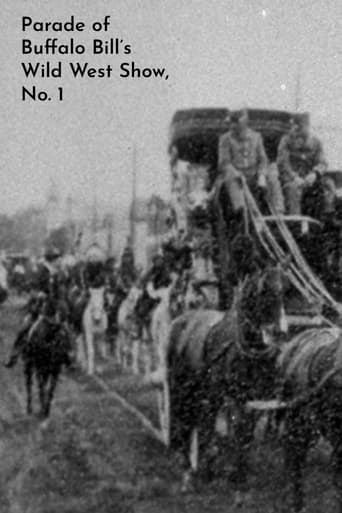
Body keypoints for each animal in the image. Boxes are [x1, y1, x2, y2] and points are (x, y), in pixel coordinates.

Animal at [165, 262, 286, 490]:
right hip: (181, 389)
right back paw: (187, 468)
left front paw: (239, 476)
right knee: (183, 422)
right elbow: (218, 434)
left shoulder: (252, 401)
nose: (279, 331)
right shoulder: (223, 398)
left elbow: (244, 436)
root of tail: (180, 319)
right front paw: (213, 473)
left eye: (285, 291)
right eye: (262, 291)